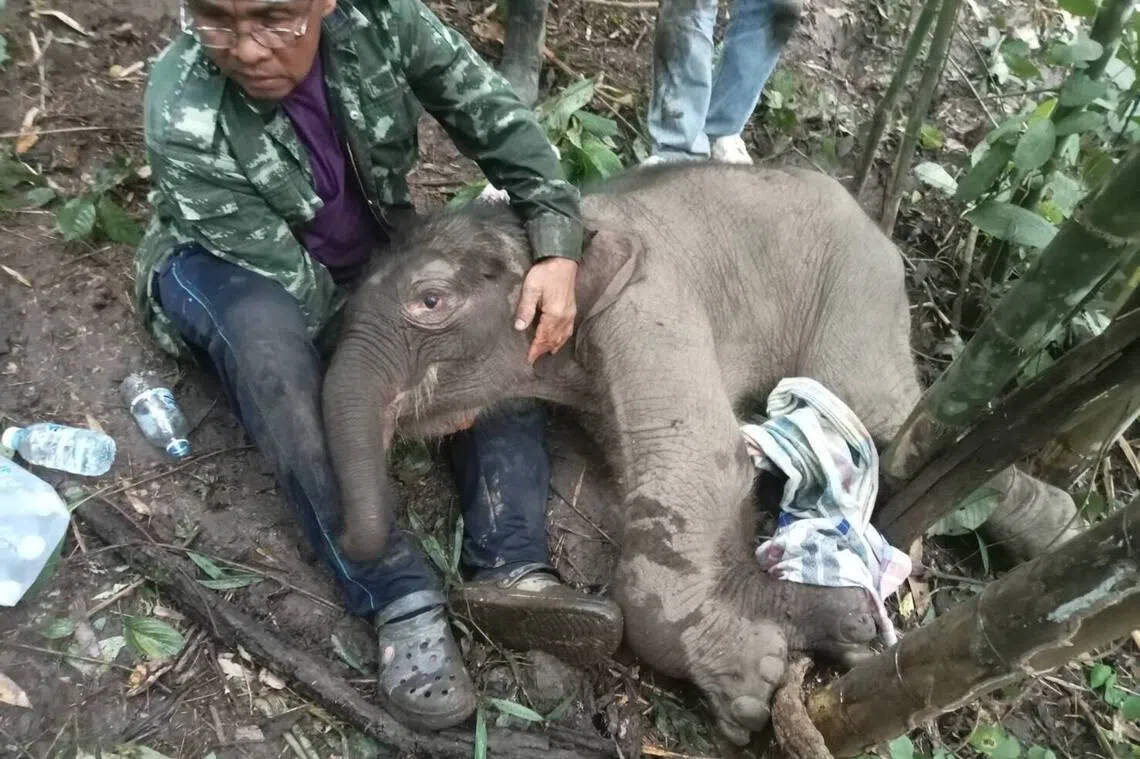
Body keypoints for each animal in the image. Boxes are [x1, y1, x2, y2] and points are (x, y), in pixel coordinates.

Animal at [321, 161, 923, 745]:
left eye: (430, 301)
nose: (348, 535)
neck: (574, 222)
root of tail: (875, 225)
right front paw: (817, 633)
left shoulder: (648, 302)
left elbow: (709, 459)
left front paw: (748, 689)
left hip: (860, 295)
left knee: (874, 406)